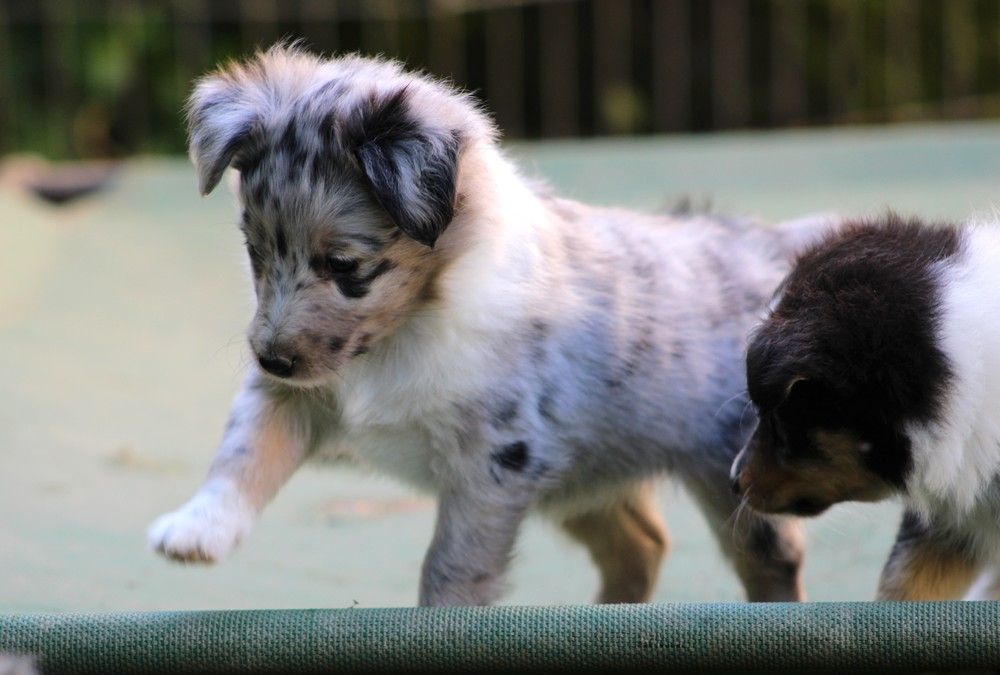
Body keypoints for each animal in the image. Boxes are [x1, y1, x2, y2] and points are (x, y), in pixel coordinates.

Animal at [150, 47, 836, 608]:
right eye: (256, 252)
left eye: (344, 266)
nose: (271, 359)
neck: (406, 328)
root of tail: (769, 251)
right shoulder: (304, 393)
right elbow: (246, 445)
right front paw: (198, 530)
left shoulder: (494, 461)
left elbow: (453, 564)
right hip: (578, 475)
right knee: (640, 543)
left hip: (738, 474)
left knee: (771, 561)